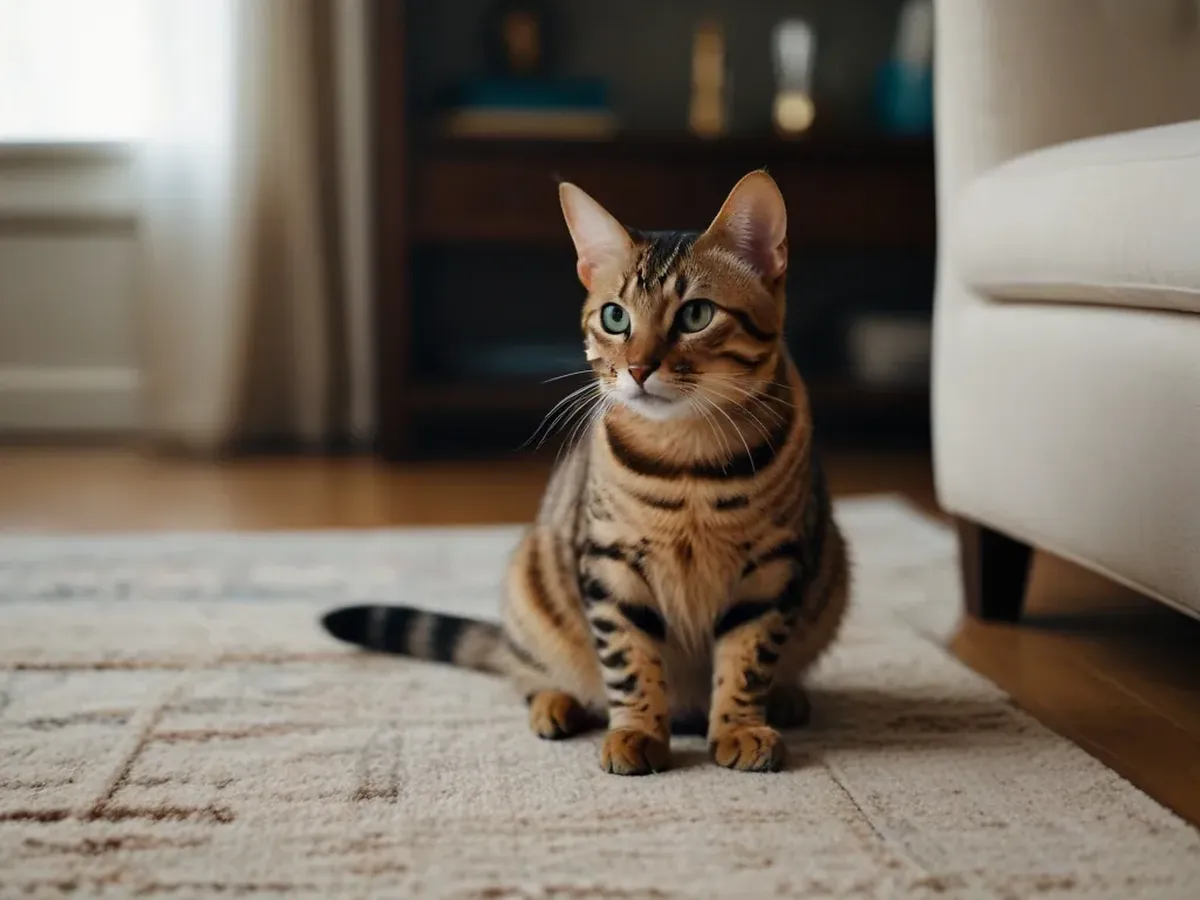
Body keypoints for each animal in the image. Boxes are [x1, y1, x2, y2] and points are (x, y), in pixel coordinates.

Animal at [324, 172, 849, 777]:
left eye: (696, 315)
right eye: (615, 317)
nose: (639, 368)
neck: (688, 460)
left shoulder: (771, 567)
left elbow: (747, 658)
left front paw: (740, 727)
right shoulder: (610, 563)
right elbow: (629, 661)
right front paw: (637, 733)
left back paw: (785, 699)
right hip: (531, 588)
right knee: (525, 672)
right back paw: (557, 704)